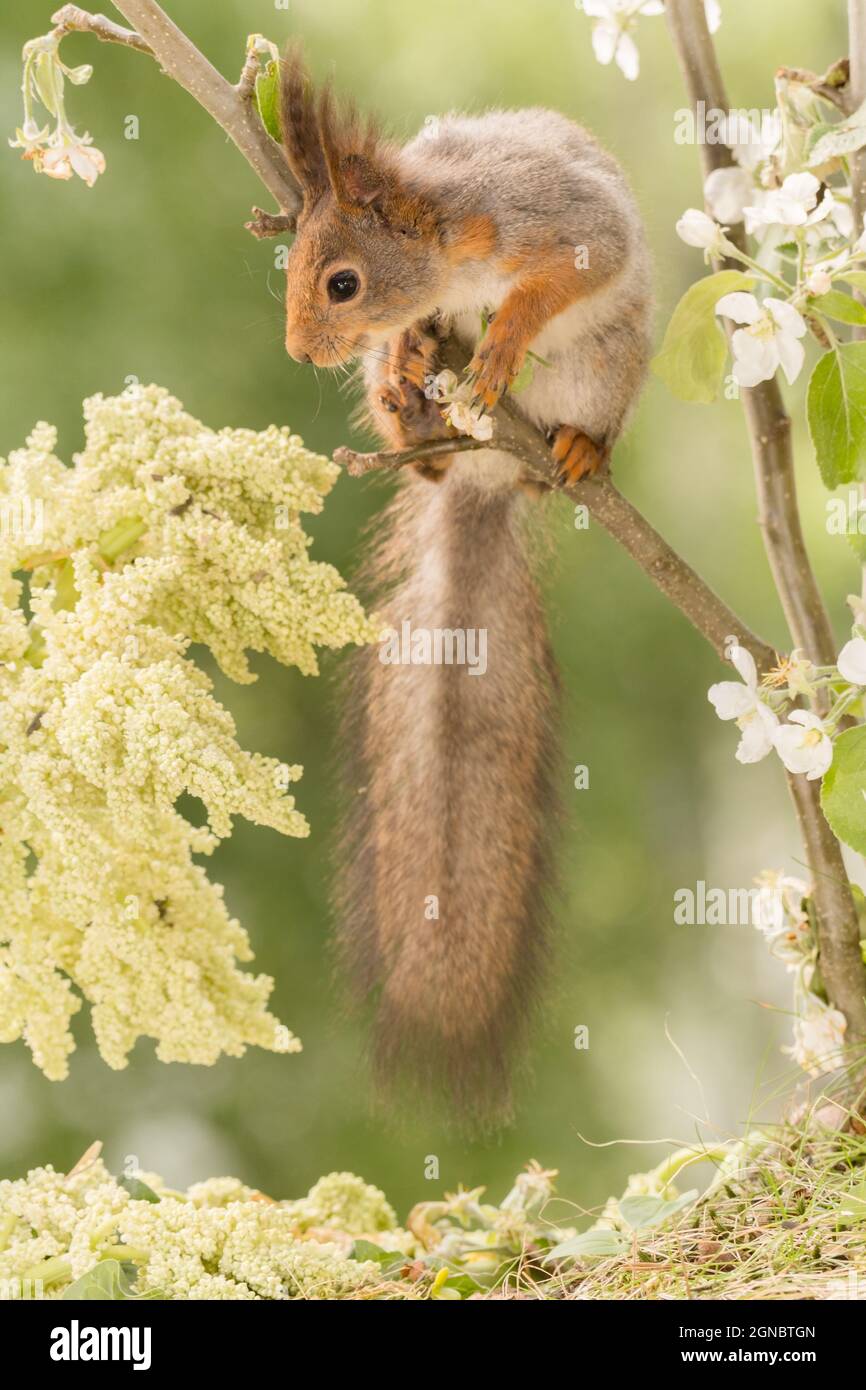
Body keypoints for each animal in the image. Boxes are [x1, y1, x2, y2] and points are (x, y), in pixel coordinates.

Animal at [279, 53, 653, 1125]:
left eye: (344, 282)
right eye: (290, 267)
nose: (300, 351)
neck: (447, 242)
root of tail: (490, 471)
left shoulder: (555, 216)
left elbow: (580, 266)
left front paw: (502, 339)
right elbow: (420, 334)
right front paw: (412, 351)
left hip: (606, 369)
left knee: (561, 439)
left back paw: (569, 450)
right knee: (431, 452)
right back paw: (410, 407)